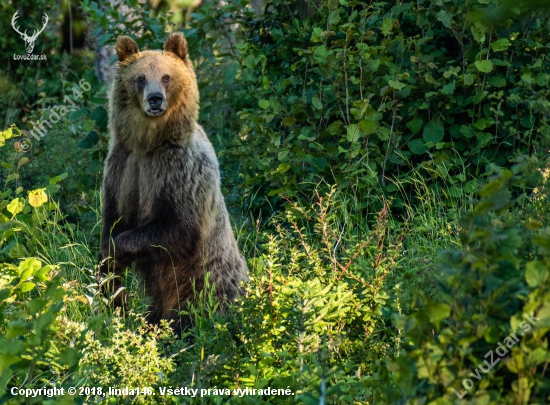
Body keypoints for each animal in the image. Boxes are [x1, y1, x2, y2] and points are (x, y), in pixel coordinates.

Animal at [99, 33, 250, 332]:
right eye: (141, 77)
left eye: (166, 76)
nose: (155, 99)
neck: (149, 145)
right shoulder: (122, 169)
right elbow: (112, 222)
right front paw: (112, 288)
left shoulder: (179, 173)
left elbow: (179, 228)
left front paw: (117, 249)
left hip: (206, 285)